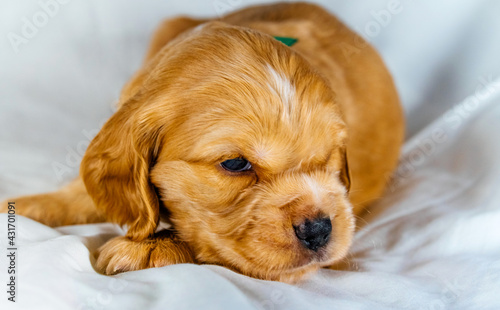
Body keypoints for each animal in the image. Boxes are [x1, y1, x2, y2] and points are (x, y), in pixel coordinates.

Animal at [1, 3, 404, 284]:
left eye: (329, 158)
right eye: (235, 164)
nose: (319, 229)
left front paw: (150, 247)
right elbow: (82, 192)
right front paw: (24, 207)